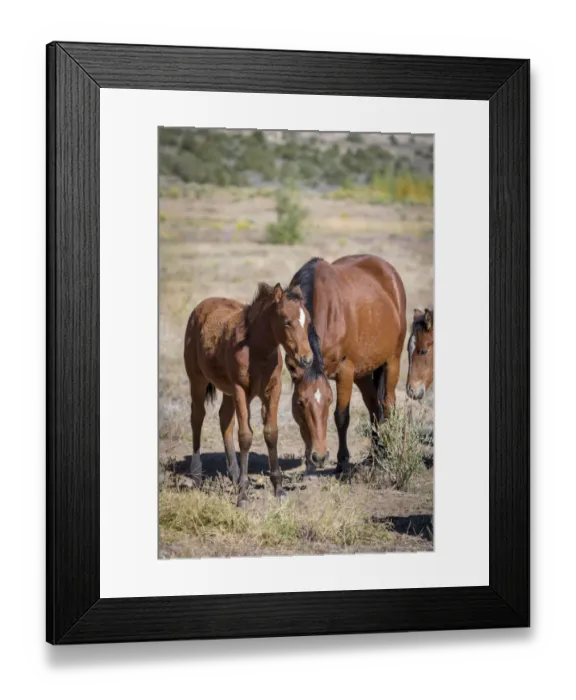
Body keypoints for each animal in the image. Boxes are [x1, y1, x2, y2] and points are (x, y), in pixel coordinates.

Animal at [184, 282, 313, 507]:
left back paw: (235, 476)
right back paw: (198, 475)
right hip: (198, 381)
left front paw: (278, 488)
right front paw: (243, 495)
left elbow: (271, 433)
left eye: (308, 321)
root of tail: (201, 306)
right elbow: (245, 436)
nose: (307, 359)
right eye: (287, 322)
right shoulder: (240, 390)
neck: (257, 349)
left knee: (224, 419)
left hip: (227, 390)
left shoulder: (273, 390)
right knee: (197, 418)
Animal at [284, 255, 407, 475]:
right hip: (364, 372)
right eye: (300, 403)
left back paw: (385, 453)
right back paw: (374, 454)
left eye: (329, 400)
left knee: (387, 404)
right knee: (374, 407)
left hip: (392, 361)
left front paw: (342, 464)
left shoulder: (345, 371)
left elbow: (341, 417)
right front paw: (309, 464)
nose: (320, 457)